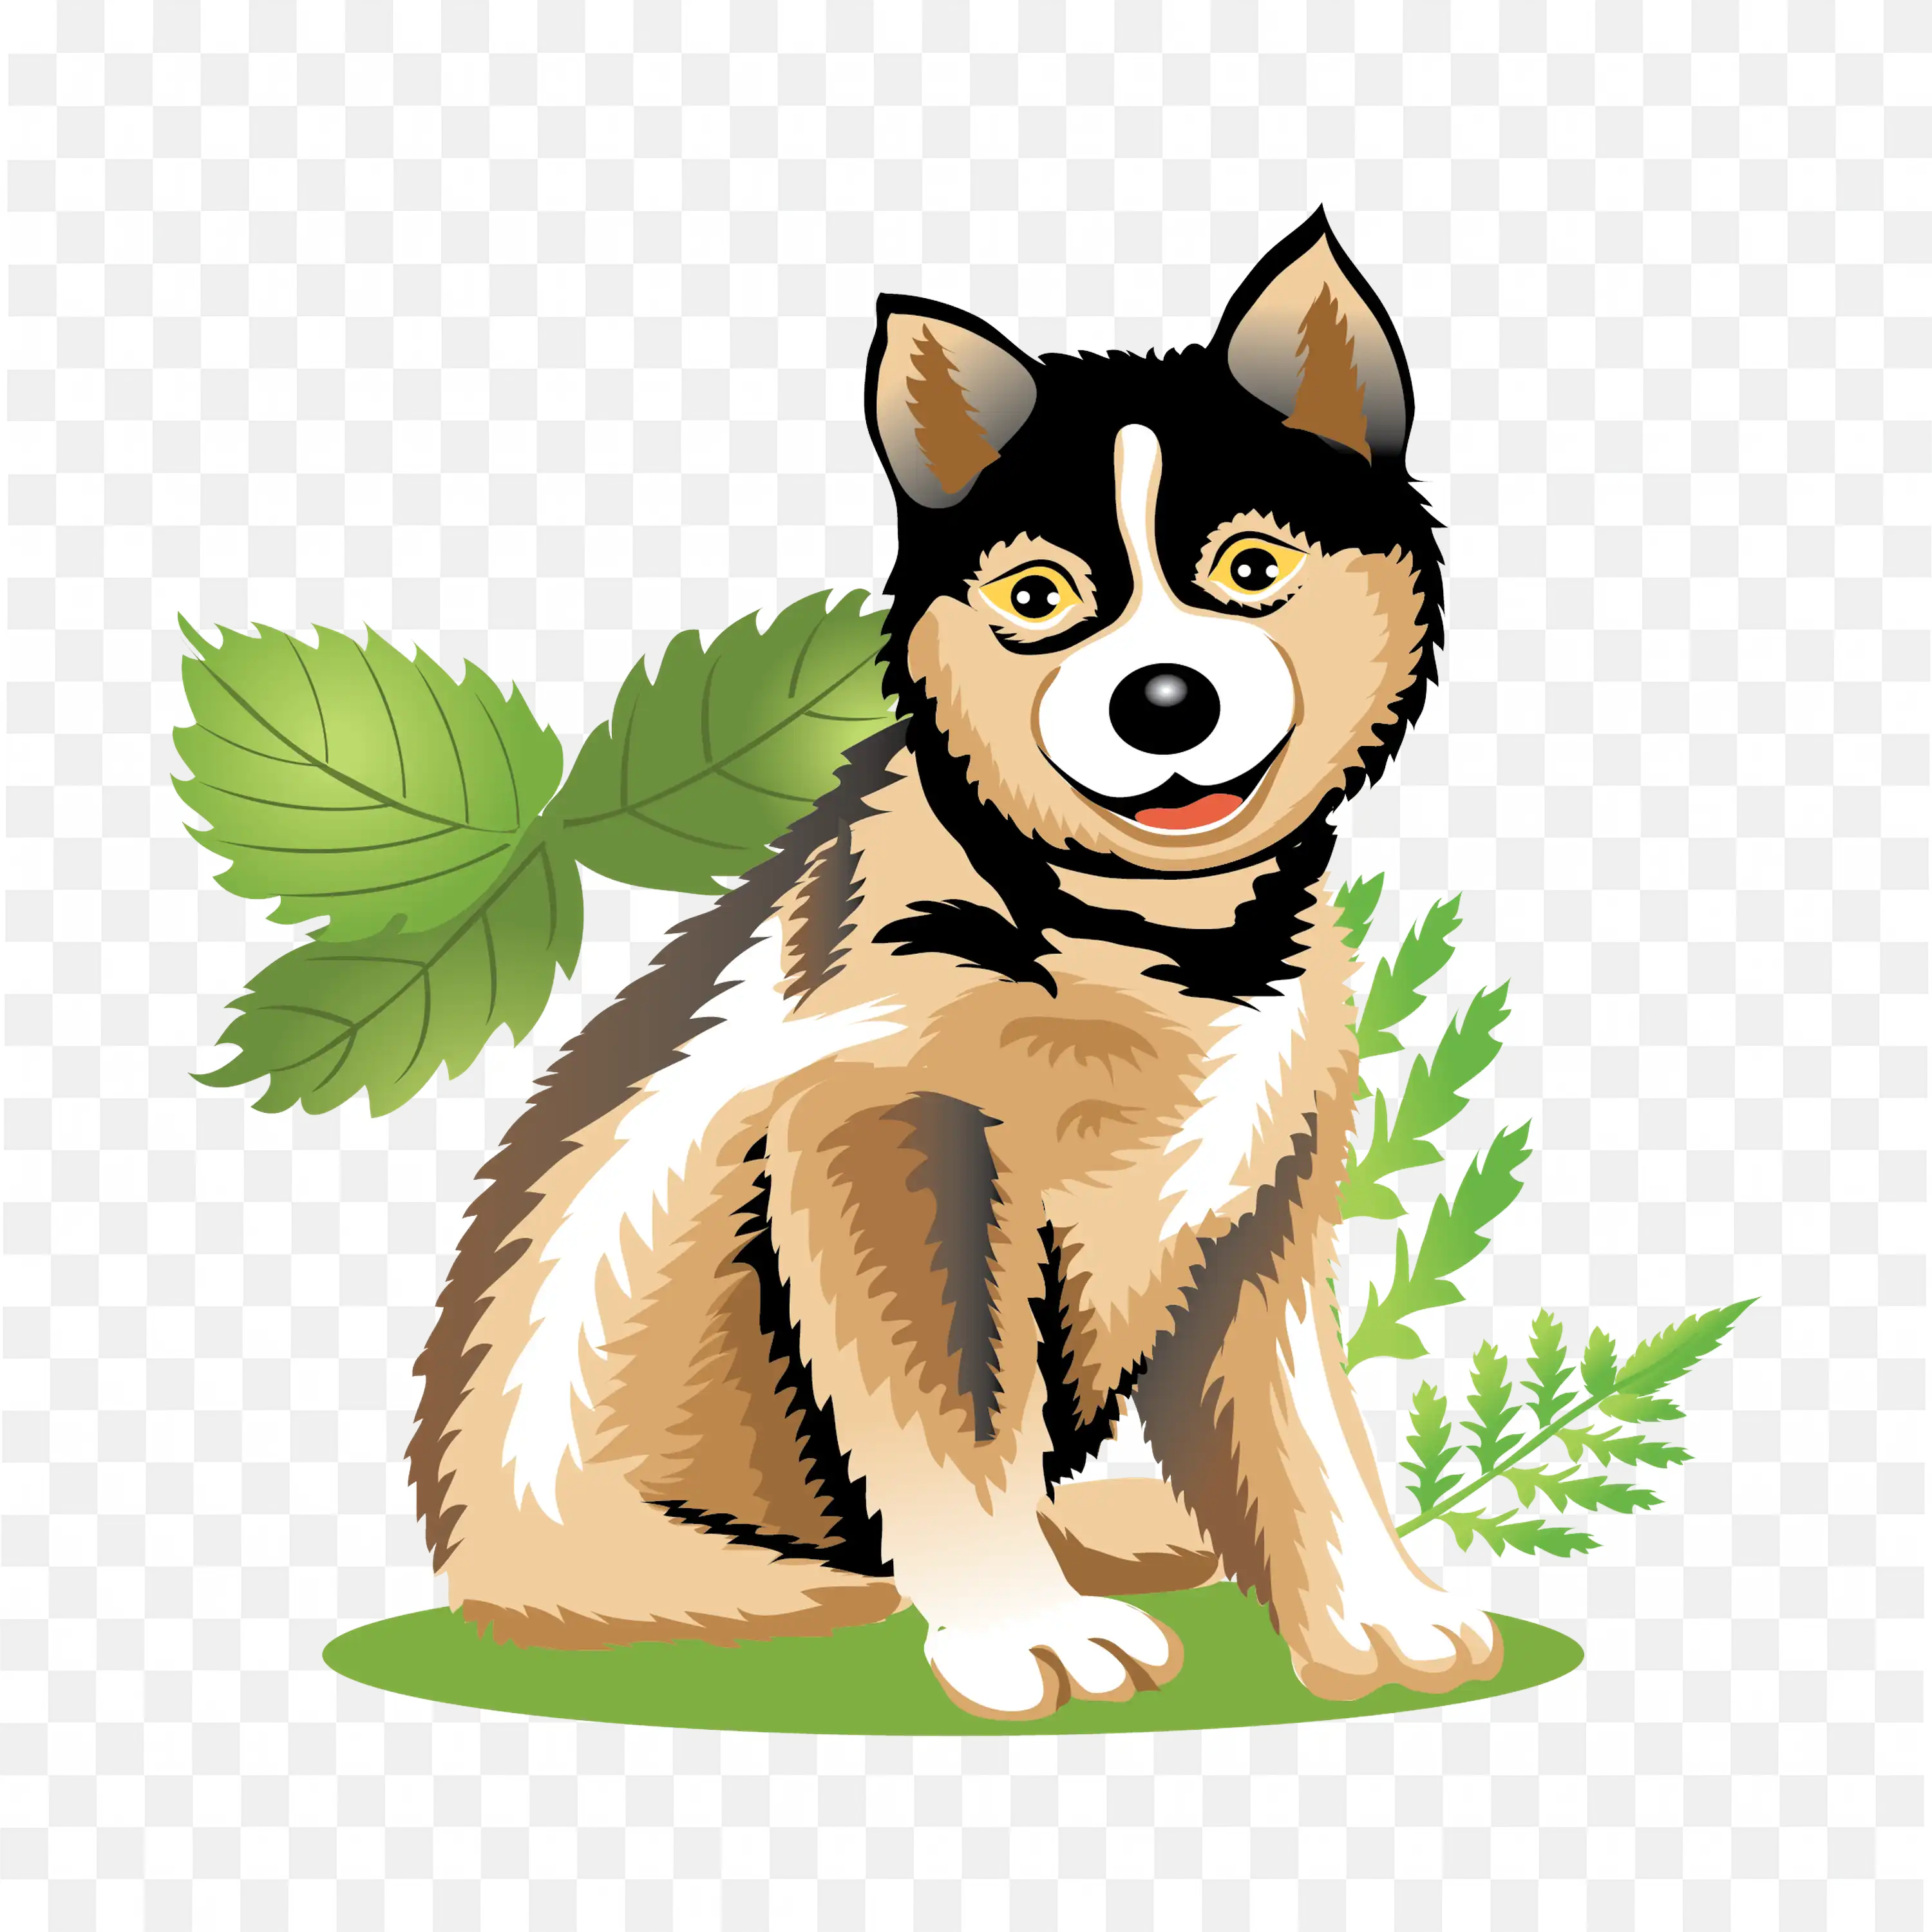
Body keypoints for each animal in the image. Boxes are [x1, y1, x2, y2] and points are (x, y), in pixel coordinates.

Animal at [407, 209, 1503, 1720]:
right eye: (1037, 598)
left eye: (1252, 570)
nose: (1164, 700)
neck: (1147, 945)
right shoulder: (882, 1153)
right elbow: (955, 1425)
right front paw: (1024, 1630)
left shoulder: (1260, 1214)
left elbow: (1303, 1431)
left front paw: (1372, 1614)